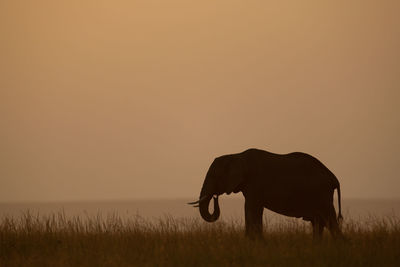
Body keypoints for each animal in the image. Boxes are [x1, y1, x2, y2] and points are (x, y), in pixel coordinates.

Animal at [188, 149, 344, 241]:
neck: (236, 156)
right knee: (318, 222)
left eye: (214, 176)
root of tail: (334, 178)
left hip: (322, 195)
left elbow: (251, 208)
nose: (215, 197)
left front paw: (251, 242)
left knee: (329, 220)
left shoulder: (254, 183)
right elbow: (255, 210)